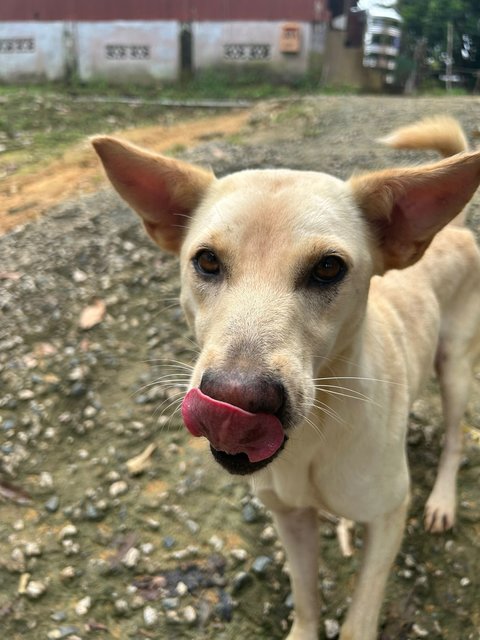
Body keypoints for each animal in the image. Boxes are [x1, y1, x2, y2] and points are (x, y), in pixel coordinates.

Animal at [93, 116, 480, 640]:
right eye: (207, 261)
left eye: (328, 268)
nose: (234, 402)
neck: (315, 437)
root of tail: (452, 228)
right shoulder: (291, 520)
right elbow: (304, 593)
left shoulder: (387, 518)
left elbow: (359, 619)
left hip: (455, 367)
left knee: (456, 437)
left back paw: (442, 499)